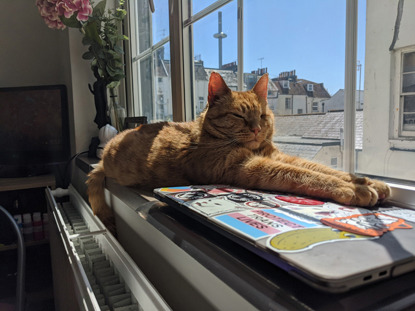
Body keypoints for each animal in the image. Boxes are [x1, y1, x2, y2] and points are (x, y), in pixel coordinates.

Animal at [86, 72, 392, 232]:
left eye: (262, 115)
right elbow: (305, 175)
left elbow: (323, 169)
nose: (257, 128)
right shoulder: (249, 167)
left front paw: (368, 182)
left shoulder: (277, 156)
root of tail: (105, 153)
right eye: (240, 116)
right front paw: (354, 189)